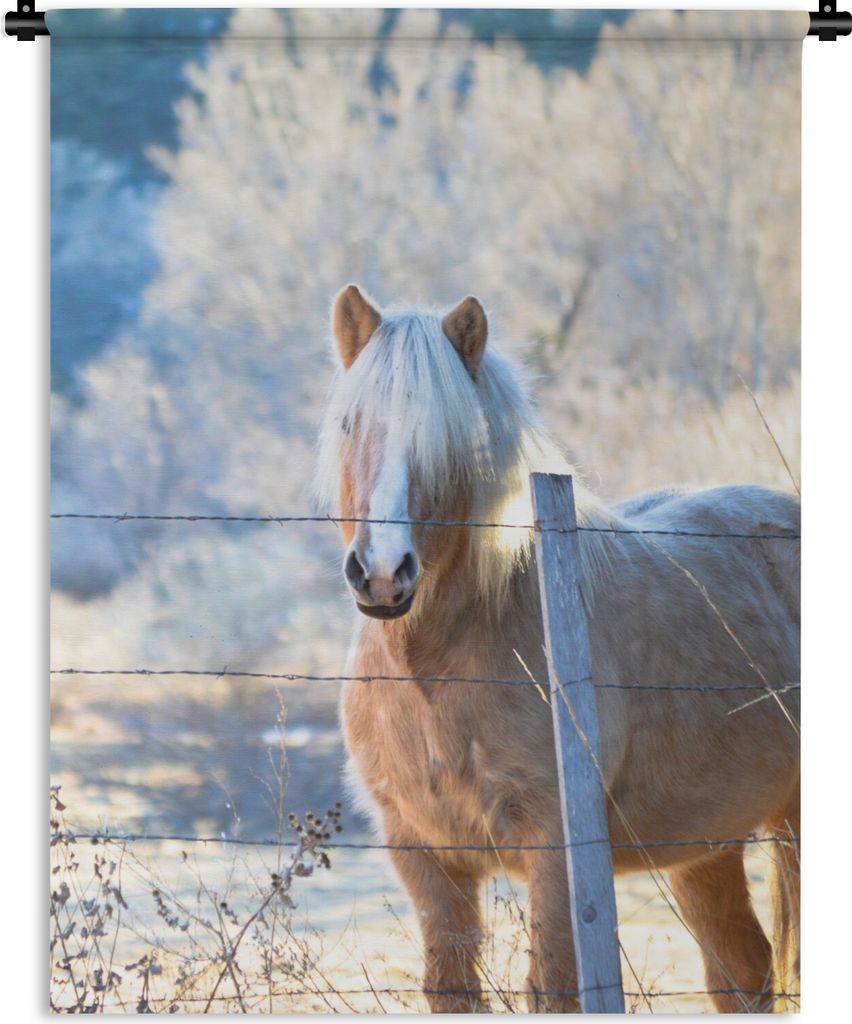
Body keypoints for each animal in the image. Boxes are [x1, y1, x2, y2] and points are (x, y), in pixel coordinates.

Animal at [316, 284, 800, 1013]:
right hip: (707, 844)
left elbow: (556, 989)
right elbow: (452, 988)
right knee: (742, 972)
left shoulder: (555, 851)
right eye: (351, 424)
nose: (381, 573)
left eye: (450, 440)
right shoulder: (424, 854)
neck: (436, 675)